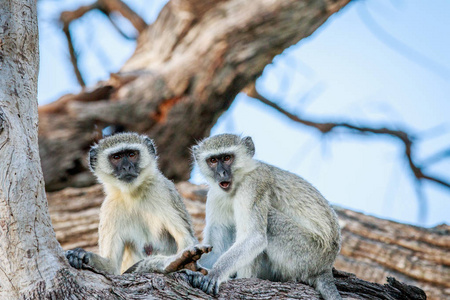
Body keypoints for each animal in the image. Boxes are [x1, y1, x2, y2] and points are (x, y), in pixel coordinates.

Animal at [66, 132, 210, 276]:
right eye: (116, 157)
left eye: (131, 154)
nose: (126, 167)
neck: (133, 196)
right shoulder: (110, 209)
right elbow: (111, 267)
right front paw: (82, 255)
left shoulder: (163, 190)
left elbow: (186, 239)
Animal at [186, 134, 342, 300]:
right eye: (213, 160)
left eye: (227, 158)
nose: (221, 173)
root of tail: (325, 267)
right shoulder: (215, 196)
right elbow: (217, 250)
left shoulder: (254, 183)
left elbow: (255, 237)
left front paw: (215, 273)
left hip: (306, 253)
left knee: (268, 220)